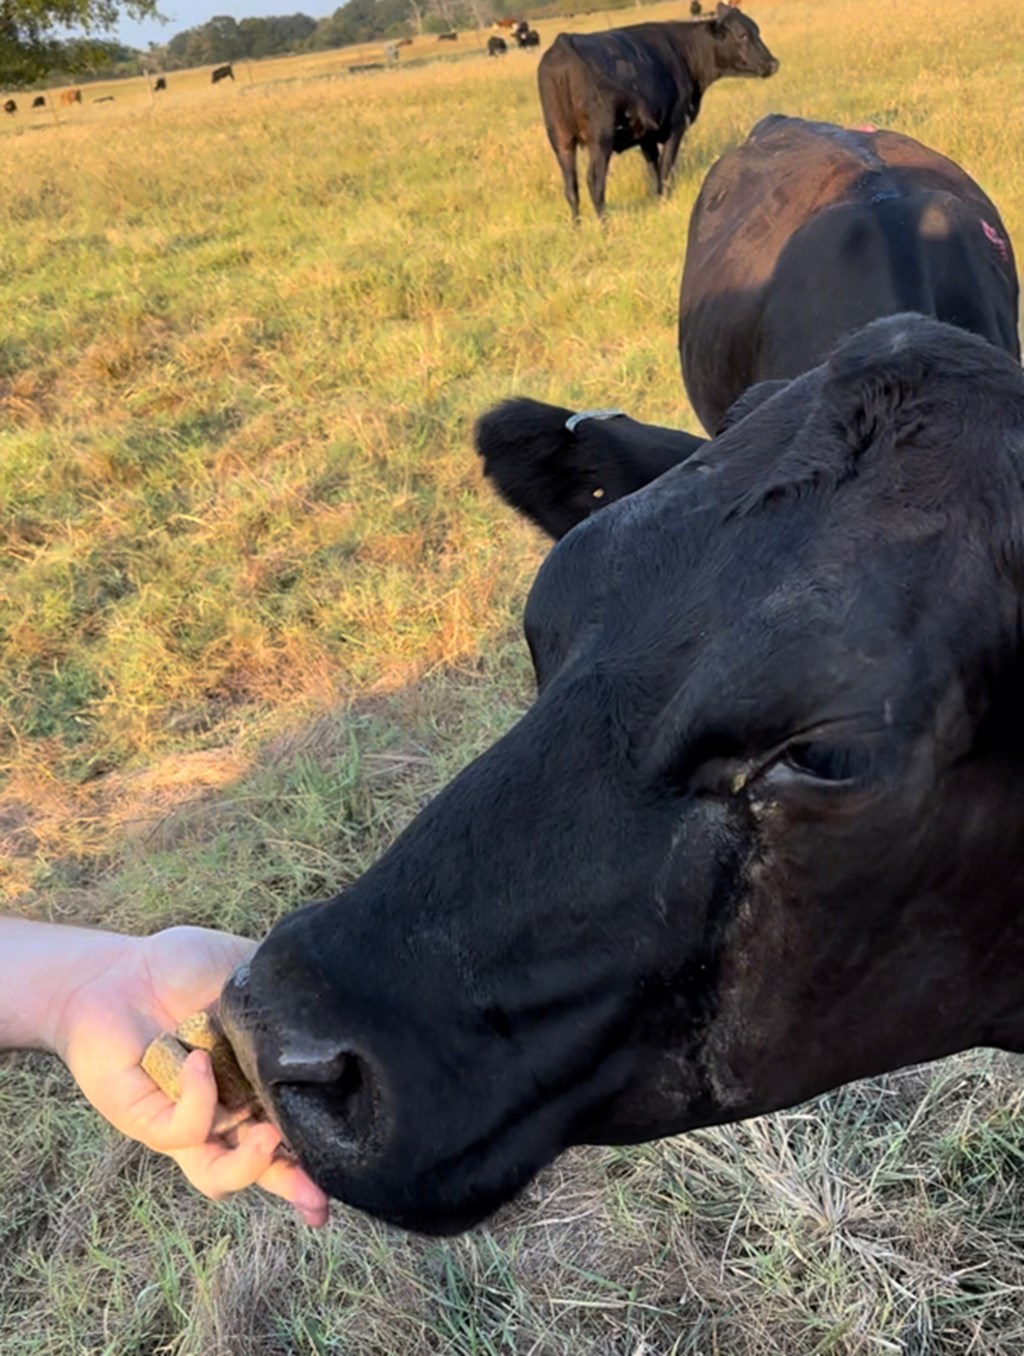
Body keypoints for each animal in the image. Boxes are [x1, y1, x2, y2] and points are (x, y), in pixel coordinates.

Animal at [537, 4, 778, 221]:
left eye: (757, 31)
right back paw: (605, 229)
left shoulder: (646, 134)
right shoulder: (676, 126)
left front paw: (659, 200)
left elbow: (654, 170)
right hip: (600, 139)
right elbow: (666, 169)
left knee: (571, 188)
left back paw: (577, 228)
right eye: (742, 35)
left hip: (560, 140)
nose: (773, 63)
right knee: (594, 183)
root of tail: (563, 44)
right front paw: (665, 204)